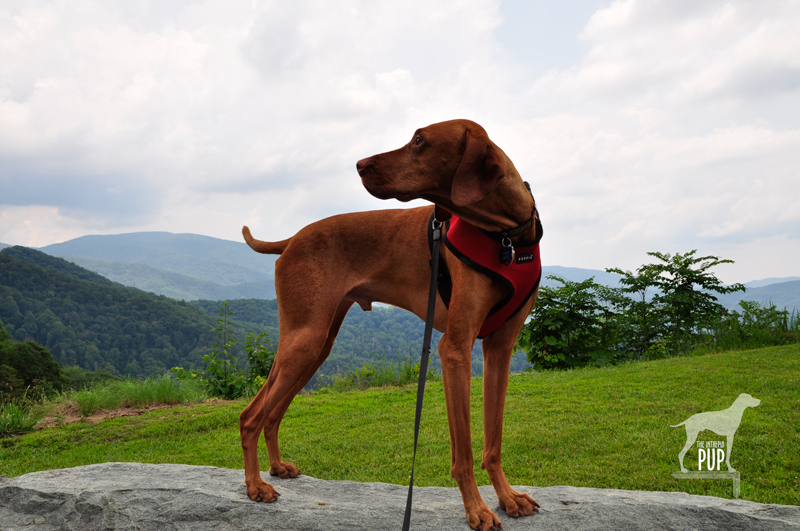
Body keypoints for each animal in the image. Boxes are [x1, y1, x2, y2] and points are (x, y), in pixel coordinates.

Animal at [238, 118, 536, 528]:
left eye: (420, 141)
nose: (359, 164)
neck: (505, 234)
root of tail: (292, 238)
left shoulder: (499, 349)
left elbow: (494, 439)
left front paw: (507, 497)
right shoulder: (454, 349)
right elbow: (463, 452)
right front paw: (476, 509)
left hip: (317, 345)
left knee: (272, 412)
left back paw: (277, 467)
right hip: (305, 339)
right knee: (251, 415)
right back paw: (255, 487)